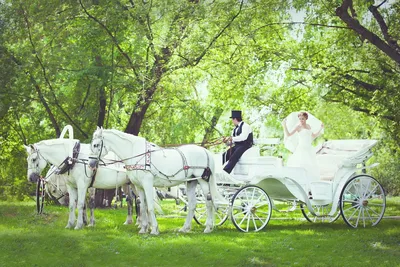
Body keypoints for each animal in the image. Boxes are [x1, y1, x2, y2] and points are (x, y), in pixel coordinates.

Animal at [90, 127, 228, 234]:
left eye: (96, 145)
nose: (91, 164)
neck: (137, 153)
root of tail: (205, 151)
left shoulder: (147, 183)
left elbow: (150, 206)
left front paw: (154, 229)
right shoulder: (139, 187)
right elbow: (143, 206)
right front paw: (143, 228)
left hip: (203, 181)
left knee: (209, 202)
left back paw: (208, 227)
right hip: (191, 182)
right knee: (193, 204)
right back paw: (185, 228)